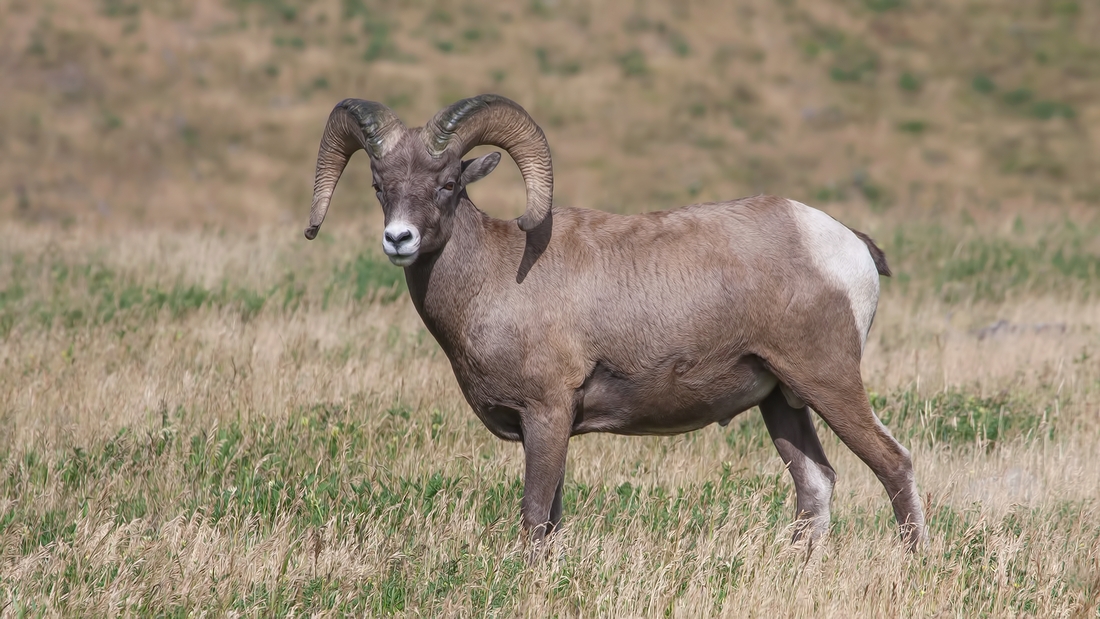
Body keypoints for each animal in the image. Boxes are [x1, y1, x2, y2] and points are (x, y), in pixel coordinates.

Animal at [305, 94, 924, 549]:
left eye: (449, 184)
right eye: (380, 186)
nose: (399, 239)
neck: (497, 277)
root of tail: (846, 243)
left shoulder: (547, 414)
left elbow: (534, 515)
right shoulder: (549, 427)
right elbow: (550, 519)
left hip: (828, 381)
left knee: (893, 464)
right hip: (781, 400)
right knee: (816, 482)